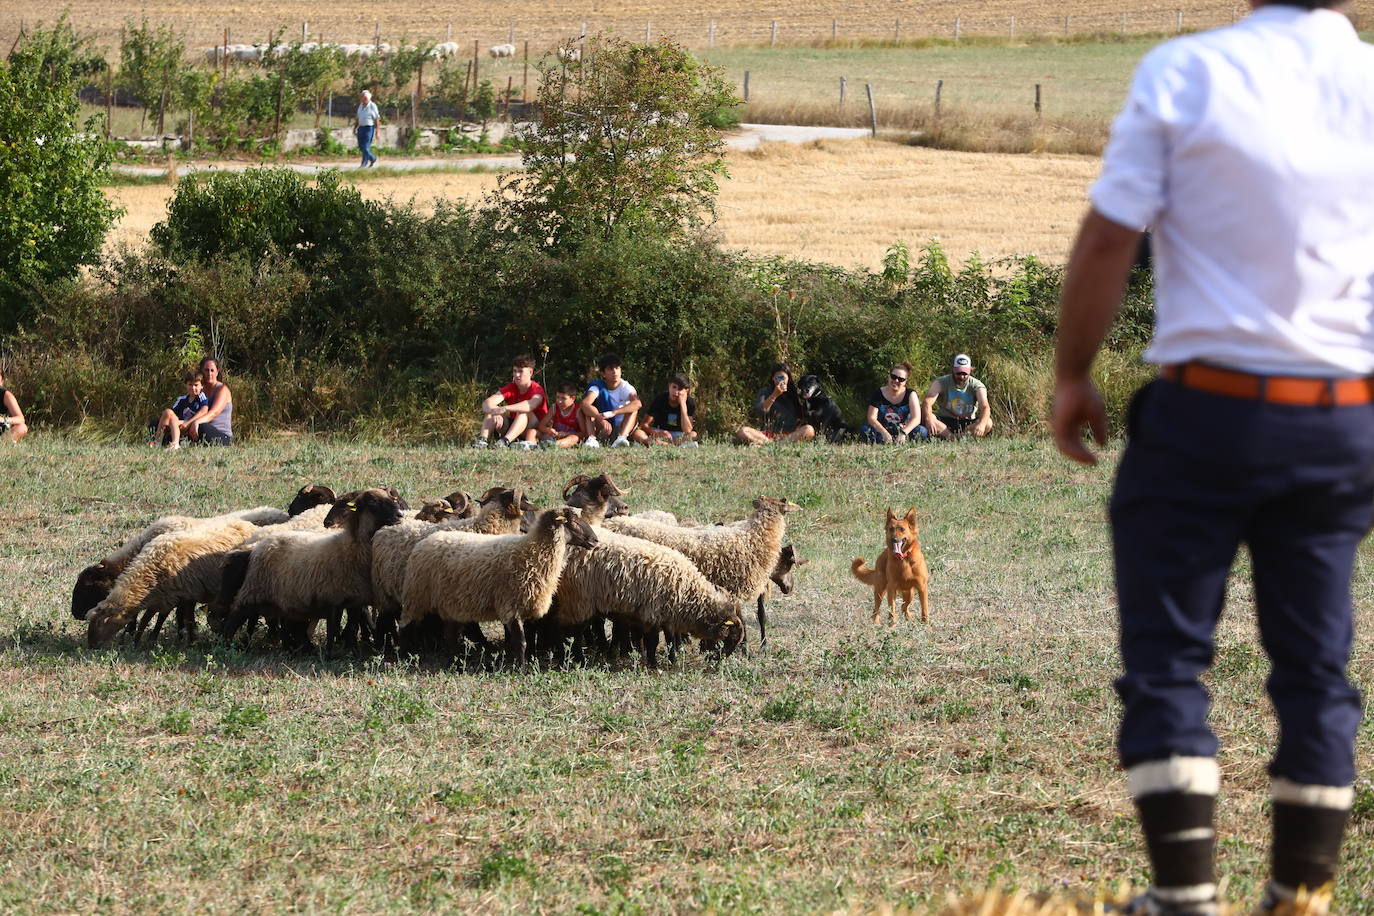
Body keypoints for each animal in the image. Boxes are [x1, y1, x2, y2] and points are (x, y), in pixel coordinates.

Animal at [395, 508, 593, 667]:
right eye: (574, 522)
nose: (595, 539)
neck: (532, 551)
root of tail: (424, 542)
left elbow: (523, 640)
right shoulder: (510, 606)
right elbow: (520, 642)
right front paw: (520, 668)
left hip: (452, 604)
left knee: (450, 636)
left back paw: (454, 663)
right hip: (416, 596)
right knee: (405, 627)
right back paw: (403, 657)